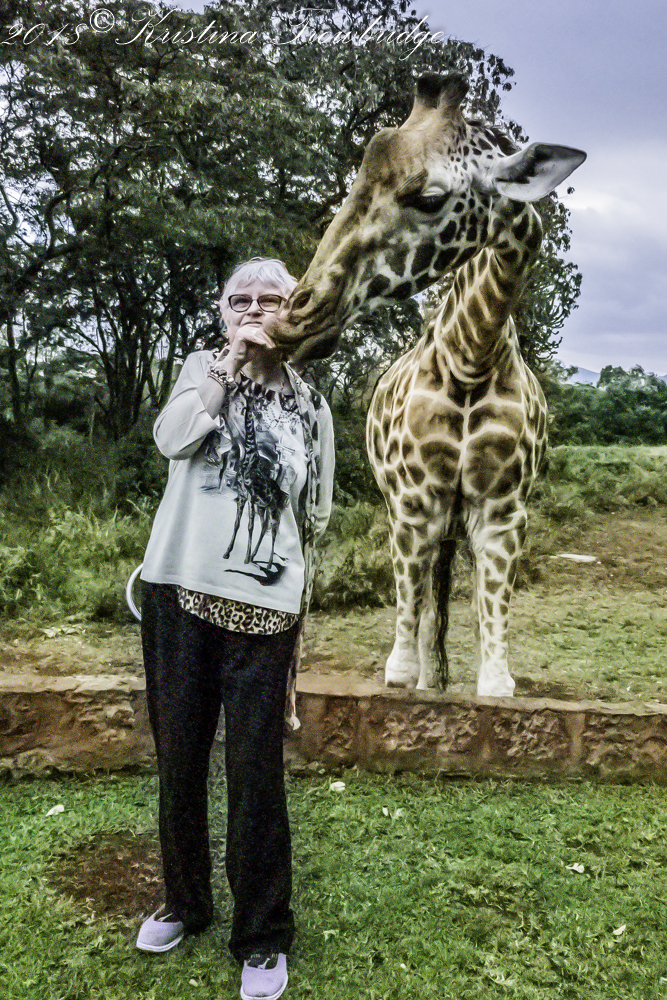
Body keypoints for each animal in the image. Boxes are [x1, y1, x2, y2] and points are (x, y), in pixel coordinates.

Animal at [272, 73, 586, 696]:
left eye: (430, 198)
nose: (299, 318)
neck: (472, 355)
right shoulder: (414, 503)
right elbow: (405, 630)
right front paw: (405, 673)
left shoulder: (502, 510)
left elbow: (491, 648)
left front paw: (490, 678)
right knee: (419, 603)